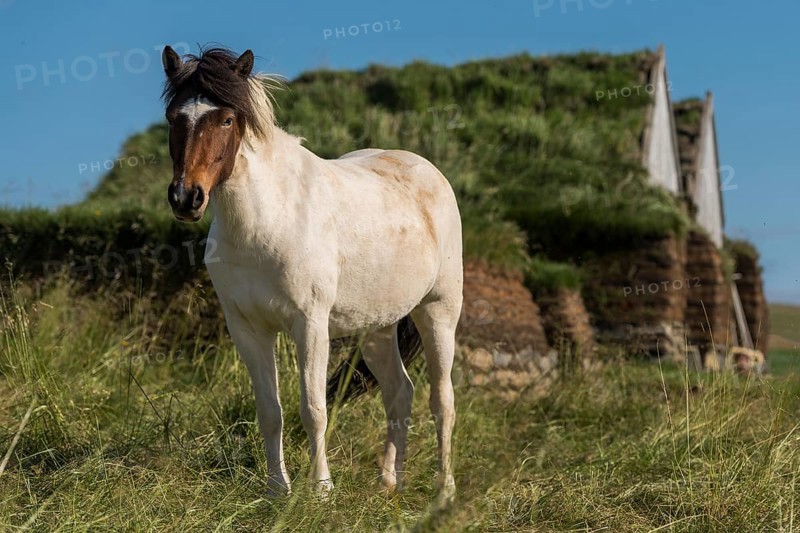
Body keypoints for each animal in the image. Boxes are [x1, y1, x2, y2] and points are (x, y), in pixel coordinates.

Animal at [160, 46, 463, 501]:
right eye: (172, 117)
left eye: (227, 119)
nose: (186, 197)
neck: (267, 221)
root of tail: (429, 172)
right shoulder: (248, 331)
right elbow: (270, 412)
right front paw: (277, 490)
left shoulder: (310, 325)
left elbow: (313, 409)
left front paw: (320, 489)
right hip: (377, 327)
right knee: (399, 392)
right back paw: (388, 483)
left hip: (439, 311)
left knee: (441, 400)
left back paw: (444, 492)